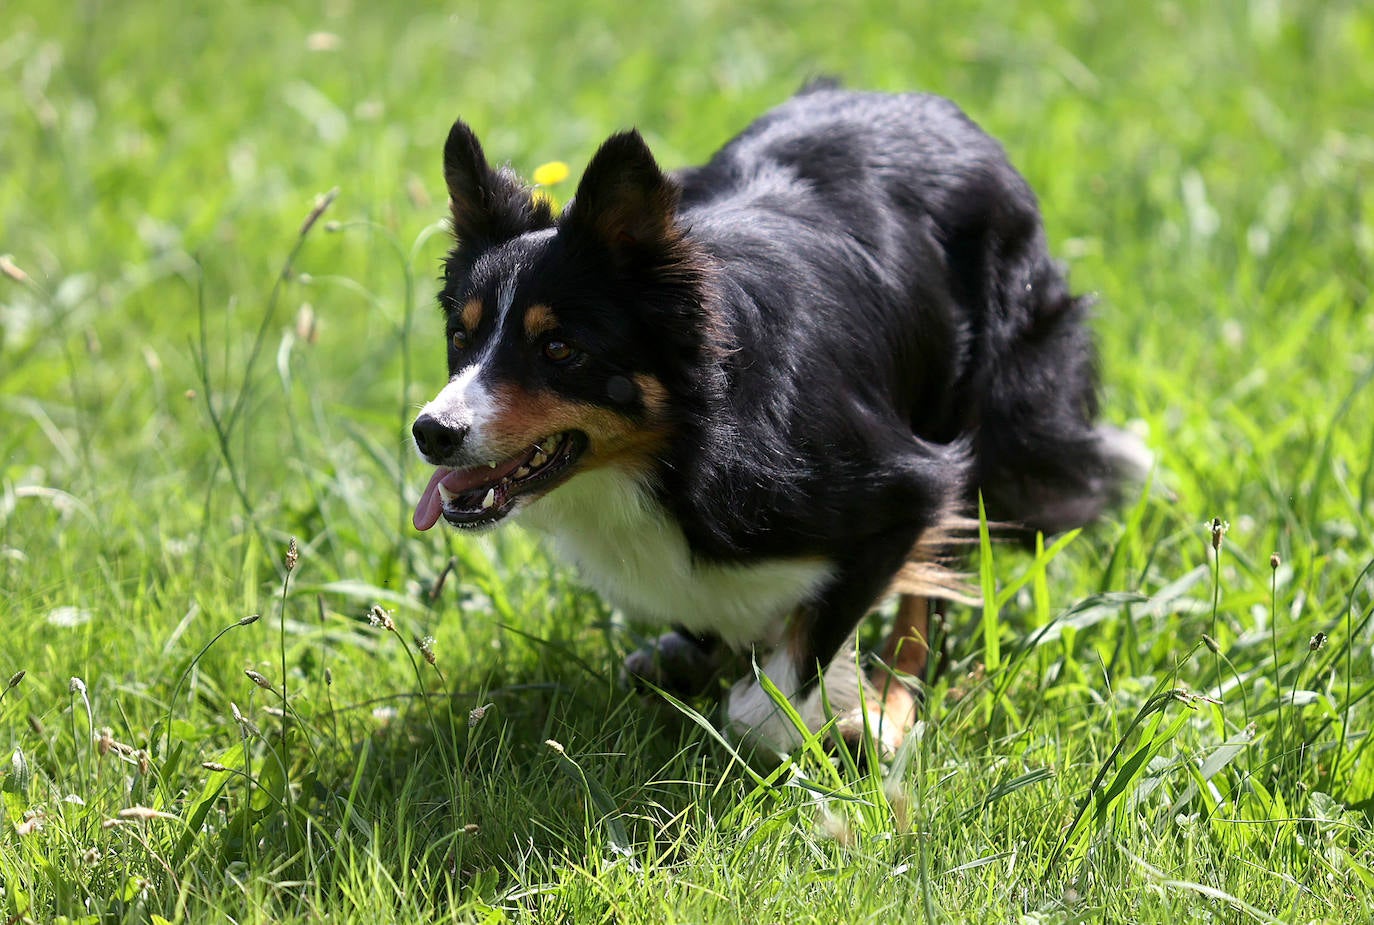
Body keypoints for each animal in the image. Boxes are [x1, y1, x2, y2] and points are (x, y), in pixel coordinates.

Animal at [409, 84, 1148, 747]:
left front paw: (826, 716)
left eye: (560, 349)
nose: (430, 433)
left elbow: (791, 673)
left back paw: (890, 713)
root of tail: (925, 102)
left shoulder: (905, 484)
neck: (685, 446)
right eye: (461, 337)